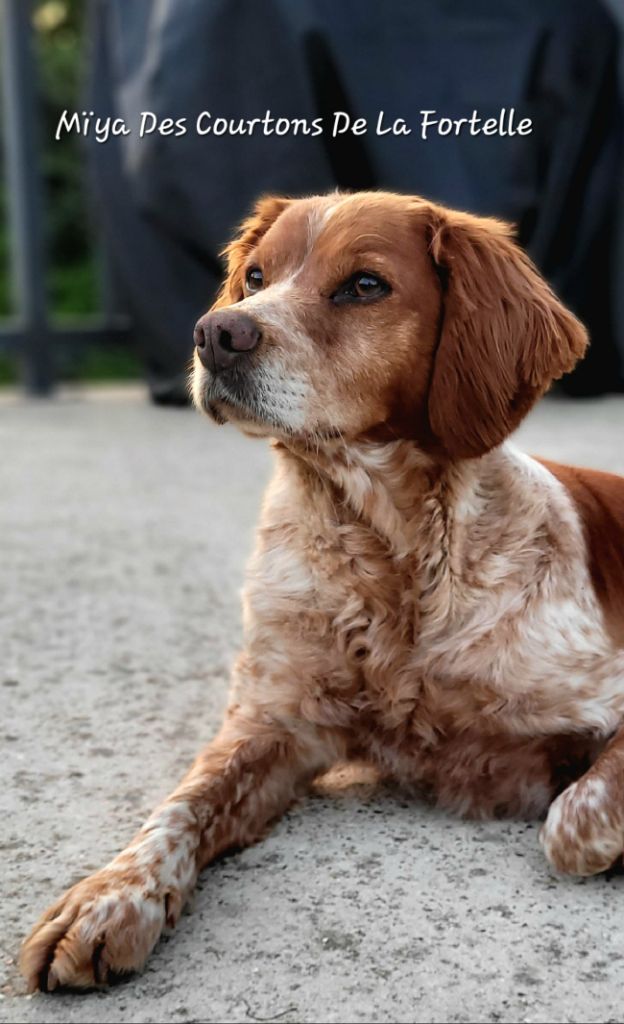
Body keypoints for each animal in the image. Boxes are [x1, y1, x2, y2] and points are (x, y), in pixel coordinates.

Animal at [19, 192, 622, 991]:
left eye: (364, 285)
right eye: (254, 276)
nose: (215, 334)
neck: (386, 552)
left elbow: (574, 820)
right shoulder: (275, 724)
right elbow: (177, 808)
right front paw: (102, 900)